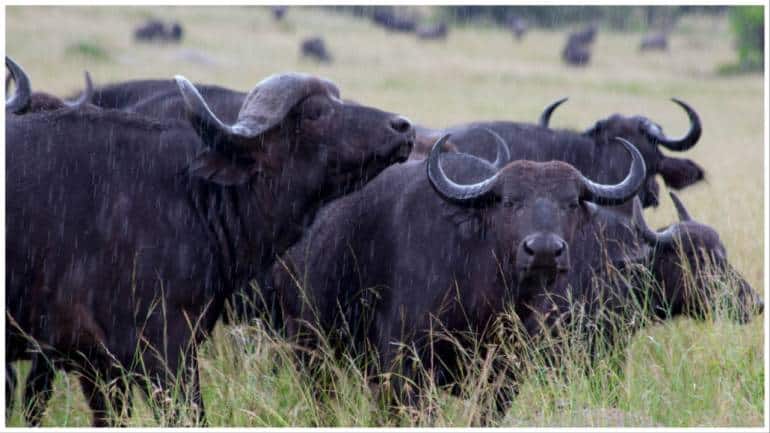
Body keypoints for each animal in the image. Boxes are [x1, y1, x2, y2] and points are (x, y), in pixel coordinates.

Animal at [272, 134, 646, 414]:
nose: (543, 250)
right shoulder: (405, 365)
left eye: (571, 203)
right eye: (509, 202)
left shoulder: (506, 374)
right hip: (307, 343)